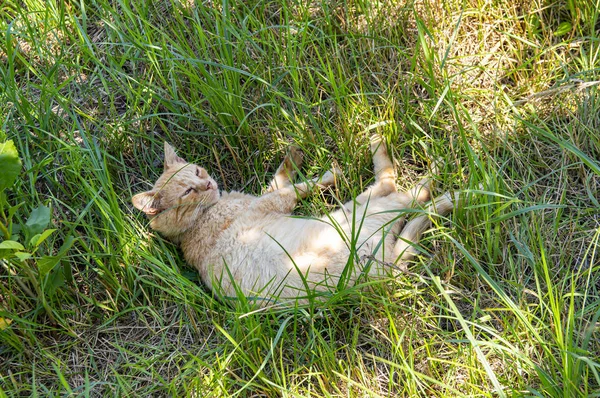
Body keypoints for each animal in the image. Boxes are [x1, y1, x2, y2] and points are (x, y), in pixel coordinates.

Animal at [134, 137, 458, 304]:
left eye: (198, 172)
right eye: (188, 191)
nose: (208, 184)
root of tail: (386, 270)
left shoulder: (269, 196)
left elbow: (280, 177)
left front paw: (294, 155)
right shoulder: (275, 202)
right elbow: (302, 186)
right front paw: (329, 174)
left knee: (414, 206)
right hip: (362, 208)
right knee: (402, 188)